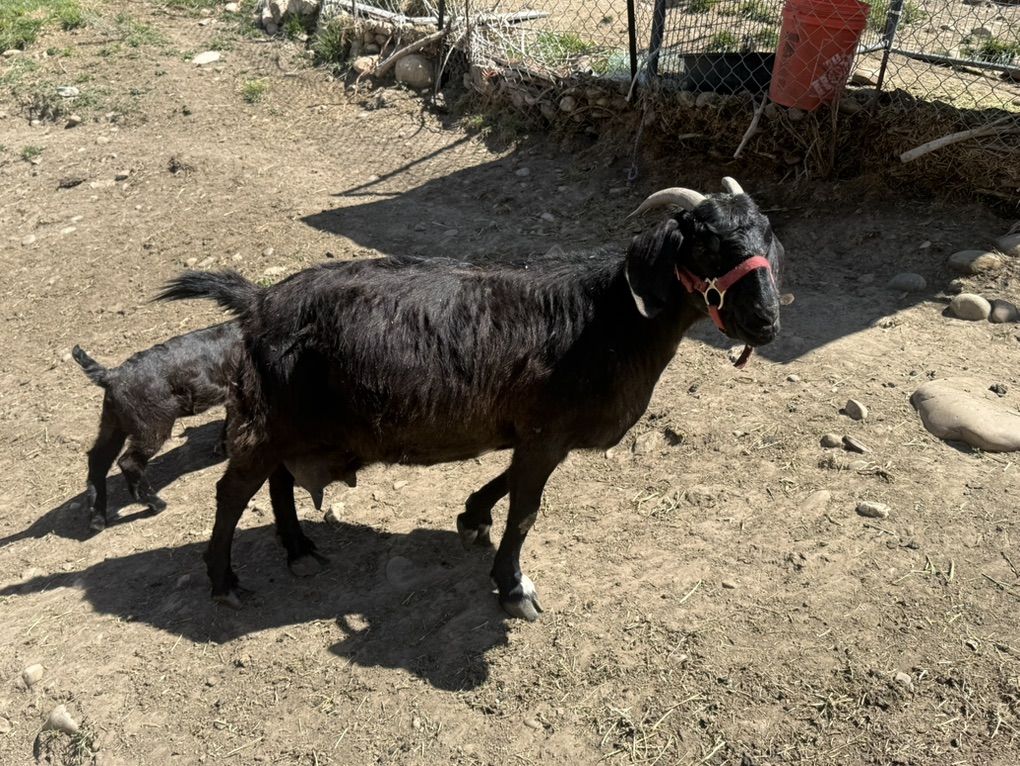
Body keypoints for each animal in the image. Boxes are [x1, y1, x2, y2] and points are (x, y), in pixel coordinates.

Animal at [72, 321, 242, 531]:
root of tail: (110, 376)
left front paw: (224, 447)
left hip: (112, 425)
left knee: (97, 460)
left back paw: (98, 519)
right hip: (153, 426)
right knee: (128, 461)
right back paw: (156, 503)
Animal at [158, 177, 783, 620]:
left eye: (765, 235)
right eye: (705, 243)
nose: (765, 321)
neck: (607, 320)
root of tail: (259, 302)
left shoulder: (538, 432)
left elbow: (505, 482)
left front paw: (471, 516)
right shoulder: (545, 432)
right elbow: (525, 510)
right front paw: (513, 587)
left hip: (295, 422)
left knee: (279, 481)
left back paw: (298, 549)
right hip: (269, 417)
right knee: (233, 492)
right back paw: (224, 581)